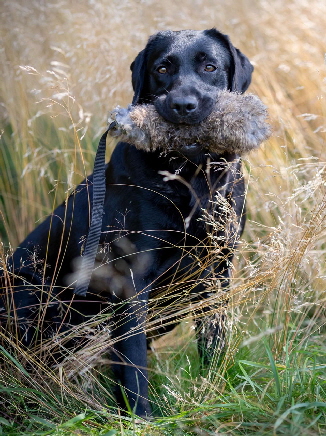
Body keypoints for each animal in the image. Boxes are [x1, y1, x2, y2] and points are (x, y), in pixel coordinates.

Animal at [0, 29, 253, 418]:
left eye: (209, 66)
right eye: (162, 68)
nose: (183, 106)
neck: (189, 177)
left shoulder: (217, 272)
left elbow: (214, 341)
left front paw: (213, 393)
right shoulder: (131, 281)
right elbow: (134, 365)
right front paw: (141, 419)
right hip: (30, 296)